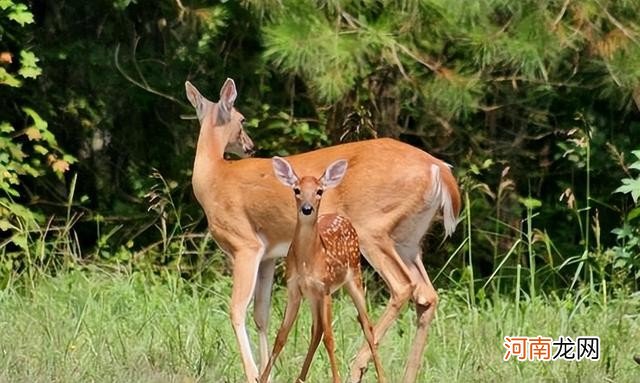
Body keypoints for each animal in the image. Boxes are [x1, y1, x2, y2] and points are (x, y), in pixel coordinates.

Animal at [258, 157, 384, 383]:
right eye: (297, 190)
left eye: (319, 191)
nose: (307, 209)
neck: (307, 261)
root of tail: (342, 218)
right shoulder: (294, 289)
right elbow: (281, 336)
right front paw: (262, 378)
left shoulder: (325, 288)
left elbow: (330, 337)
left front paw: (337, 379)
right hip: (313, 295)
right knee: (316, 330)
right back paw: (300, 378)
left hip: (354, 277)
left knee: (367, 326)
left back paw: (383, 377)